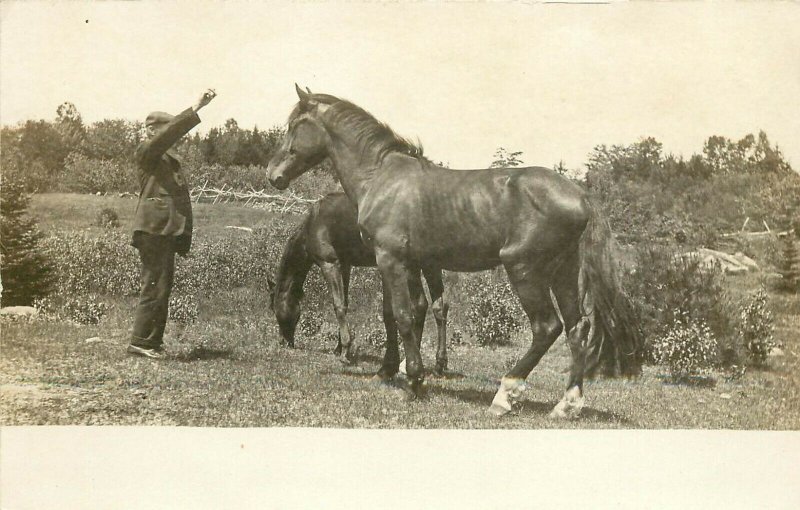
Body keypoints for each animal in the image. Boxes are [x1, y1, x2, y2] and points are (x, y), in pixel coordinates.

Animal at [266, 191, 446, 374]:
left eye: (274, 308)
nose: (283, 342)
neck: (314, 223)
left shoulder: (329, 264)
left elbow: (338, 306)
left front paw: (345, 350)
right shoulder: (345, 265)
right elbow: (345, 304)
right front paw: (339, 348)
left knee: (420, 306)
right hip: (430, 265)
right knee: (439, 307)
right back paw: (439, 363)